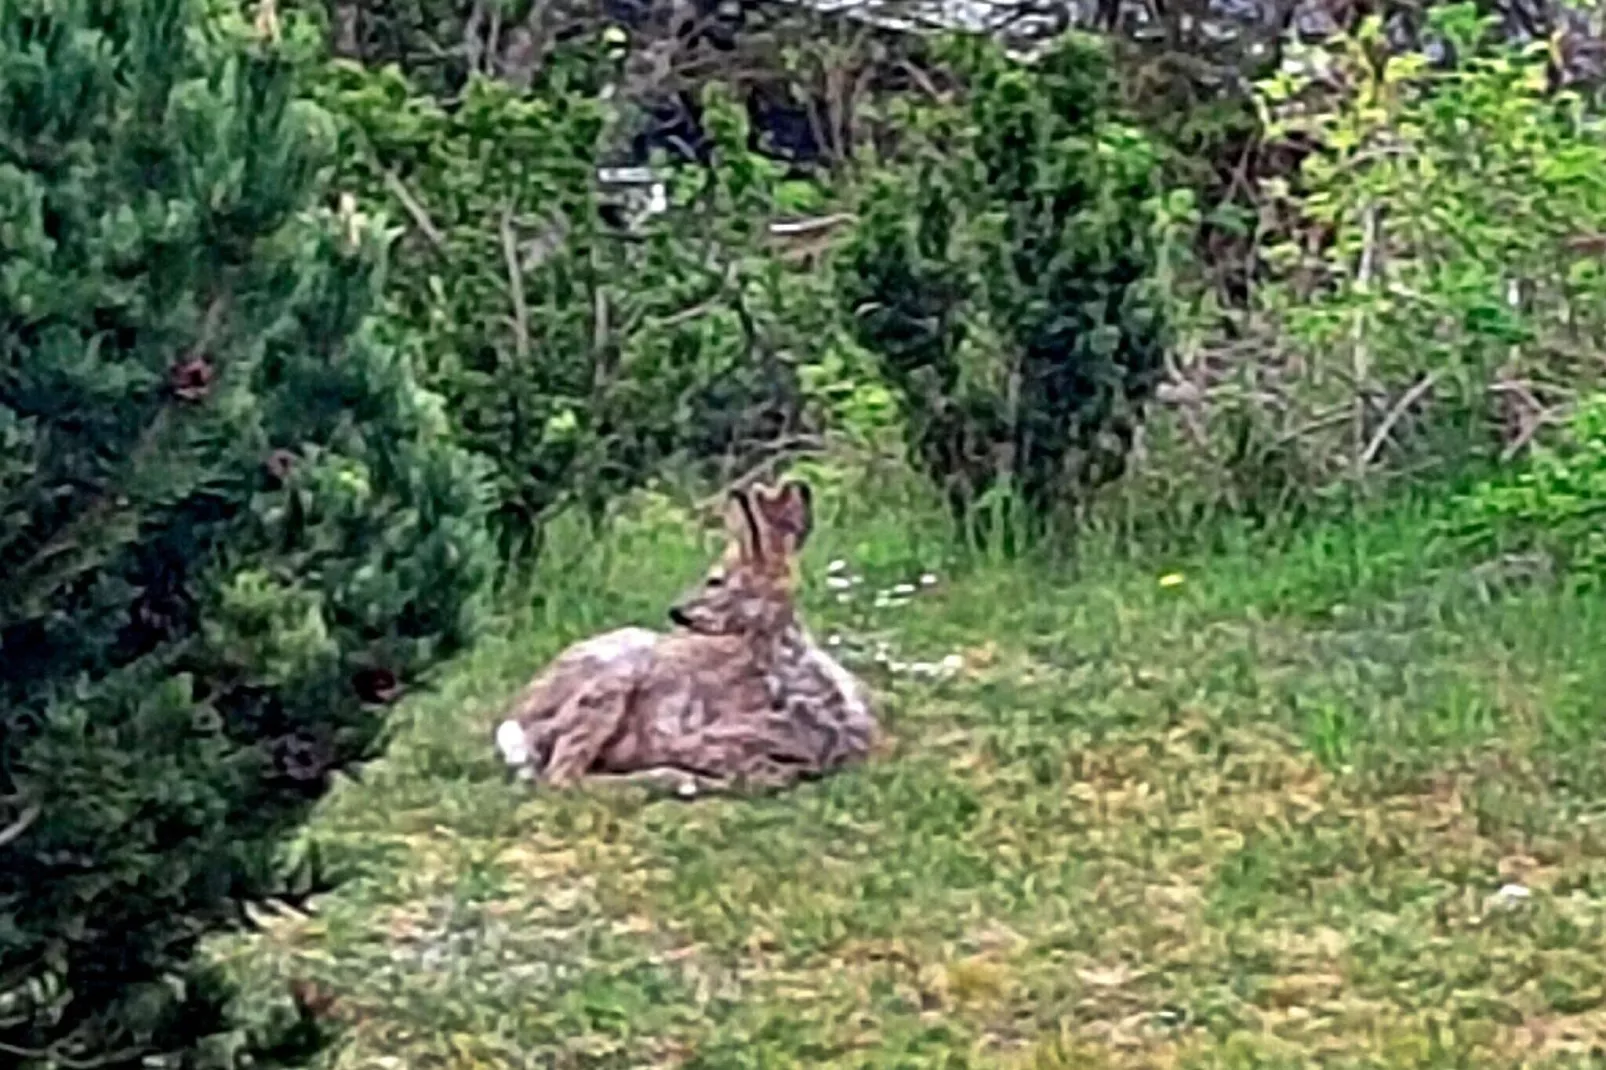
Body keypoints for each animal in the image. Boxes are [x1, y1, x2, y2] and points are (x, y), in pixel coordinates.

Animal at [497, 475, 886, 790]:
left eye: (716, 580)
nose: (677, 611)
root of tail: (517, 723)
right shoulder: (686, 734)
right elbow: (755, 770)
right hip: (611, 679)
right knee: (562, 776)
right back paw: (679, 780)